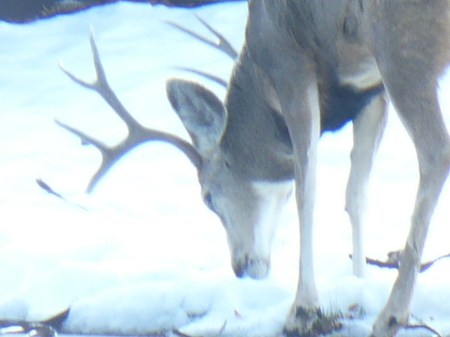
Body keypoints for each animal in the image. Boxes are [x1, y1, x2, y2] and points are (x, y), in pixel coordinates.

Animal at [56, 1, 450, 334]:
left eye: (207, 197)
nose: (241, 266)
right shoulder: (369, 93)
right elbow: (356, 193)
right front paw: (358, 283)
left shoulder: (290, 63)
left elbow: (306, 188)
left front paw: (303, 307)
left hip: (399, 43)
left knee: (436, 153)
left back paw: (393, 313)